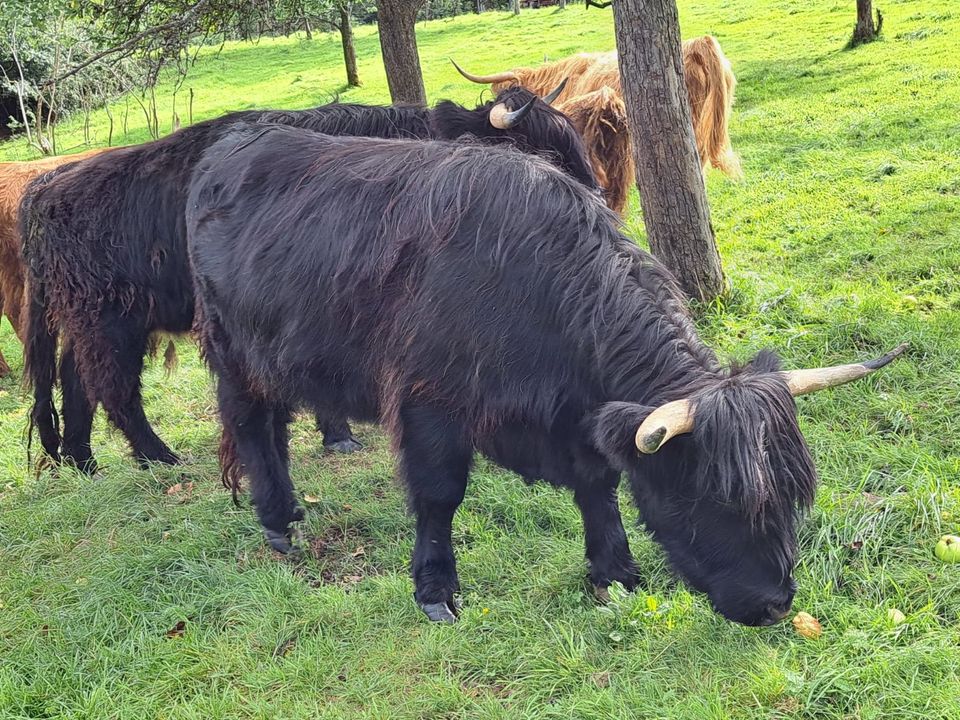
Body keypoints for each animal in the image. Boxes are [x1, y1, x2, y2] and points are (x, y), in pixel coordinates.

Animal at [20, 83, 592, 472]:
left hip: (96, 322)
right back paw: (159, 456)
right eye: (546, 153)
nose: (591, 206)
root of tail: (46, 187)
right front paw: (339, 435)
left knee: (75, 380)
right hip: (110, 321)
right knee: (113, 388)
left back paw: (83, 461)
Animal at [188, 126, 908, 628]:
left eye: (792, 493)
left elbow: (599, 488)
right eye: (719, 497)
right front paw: (436, 590)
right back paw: (277, 521)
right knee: (251, 426)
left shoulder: (579, 420)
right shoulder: (428, 403)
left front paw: (615, 573)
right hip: (232, 352)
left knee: (276, 426)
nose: (776, 603)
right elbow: (439, 497)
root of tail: (229, 146)